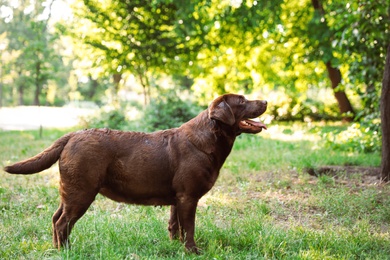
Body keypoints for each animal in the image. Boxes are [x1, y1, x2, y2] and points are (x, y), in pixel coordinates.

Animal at [3, 93, 266, 252]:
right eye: (242, 101)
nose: (265, 101)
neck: (207, 139)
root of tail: (72, 135)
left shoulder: (178, 198)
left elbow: (175, 226)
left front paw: (174, 248)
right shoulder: (188, 197)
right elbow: (189, 227)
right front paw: (193, 251)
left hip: (70, 191)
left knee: (56, 218)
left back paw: (57, 249)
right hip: (81, 192)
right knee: (62, 223)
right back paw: (66, 251)